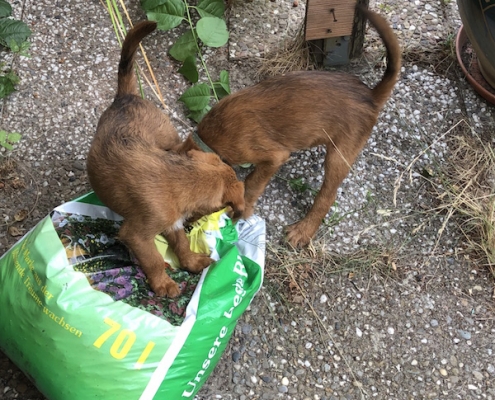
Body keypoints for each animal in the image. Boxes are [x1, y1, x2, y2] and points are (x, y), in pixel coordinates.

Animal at [88, 21, 246, 296]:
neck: (182, 177)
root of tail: (125, 97)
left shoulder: (172, 222)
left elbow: (181, 242)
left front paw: (191, 261)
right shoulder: (138, 234)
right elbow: (152, 259)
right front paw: (163, 284)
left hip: (169, 141)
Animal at [176, 7, 402, 247]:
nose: (186, 227)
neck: (211, 136)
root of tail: (371, 96)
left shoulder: (274, 156)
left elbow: (252, 183)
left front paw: (243, 210)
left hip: (339, 155)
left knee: (328, 195)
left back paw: (303, 231)